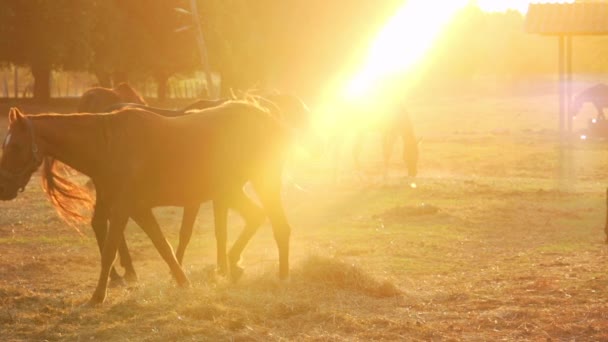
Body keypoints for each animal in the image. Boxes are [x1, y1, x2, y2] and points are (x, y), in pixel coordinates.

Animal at [0, 100, 302, 304]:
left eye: (15, 146)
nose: (4, 189)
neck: (108, 145)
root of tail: (268, 119)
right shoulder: (137, 209)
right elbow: (163, 245)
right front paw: (182, 281)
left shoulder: (124, 208)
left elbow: (111, 250)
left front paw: (97, 296)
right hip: (230, 191)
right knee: (256, 216)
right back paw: (233, 266)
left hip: (260, 184)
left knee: (280, 226)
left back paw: (282, 276)